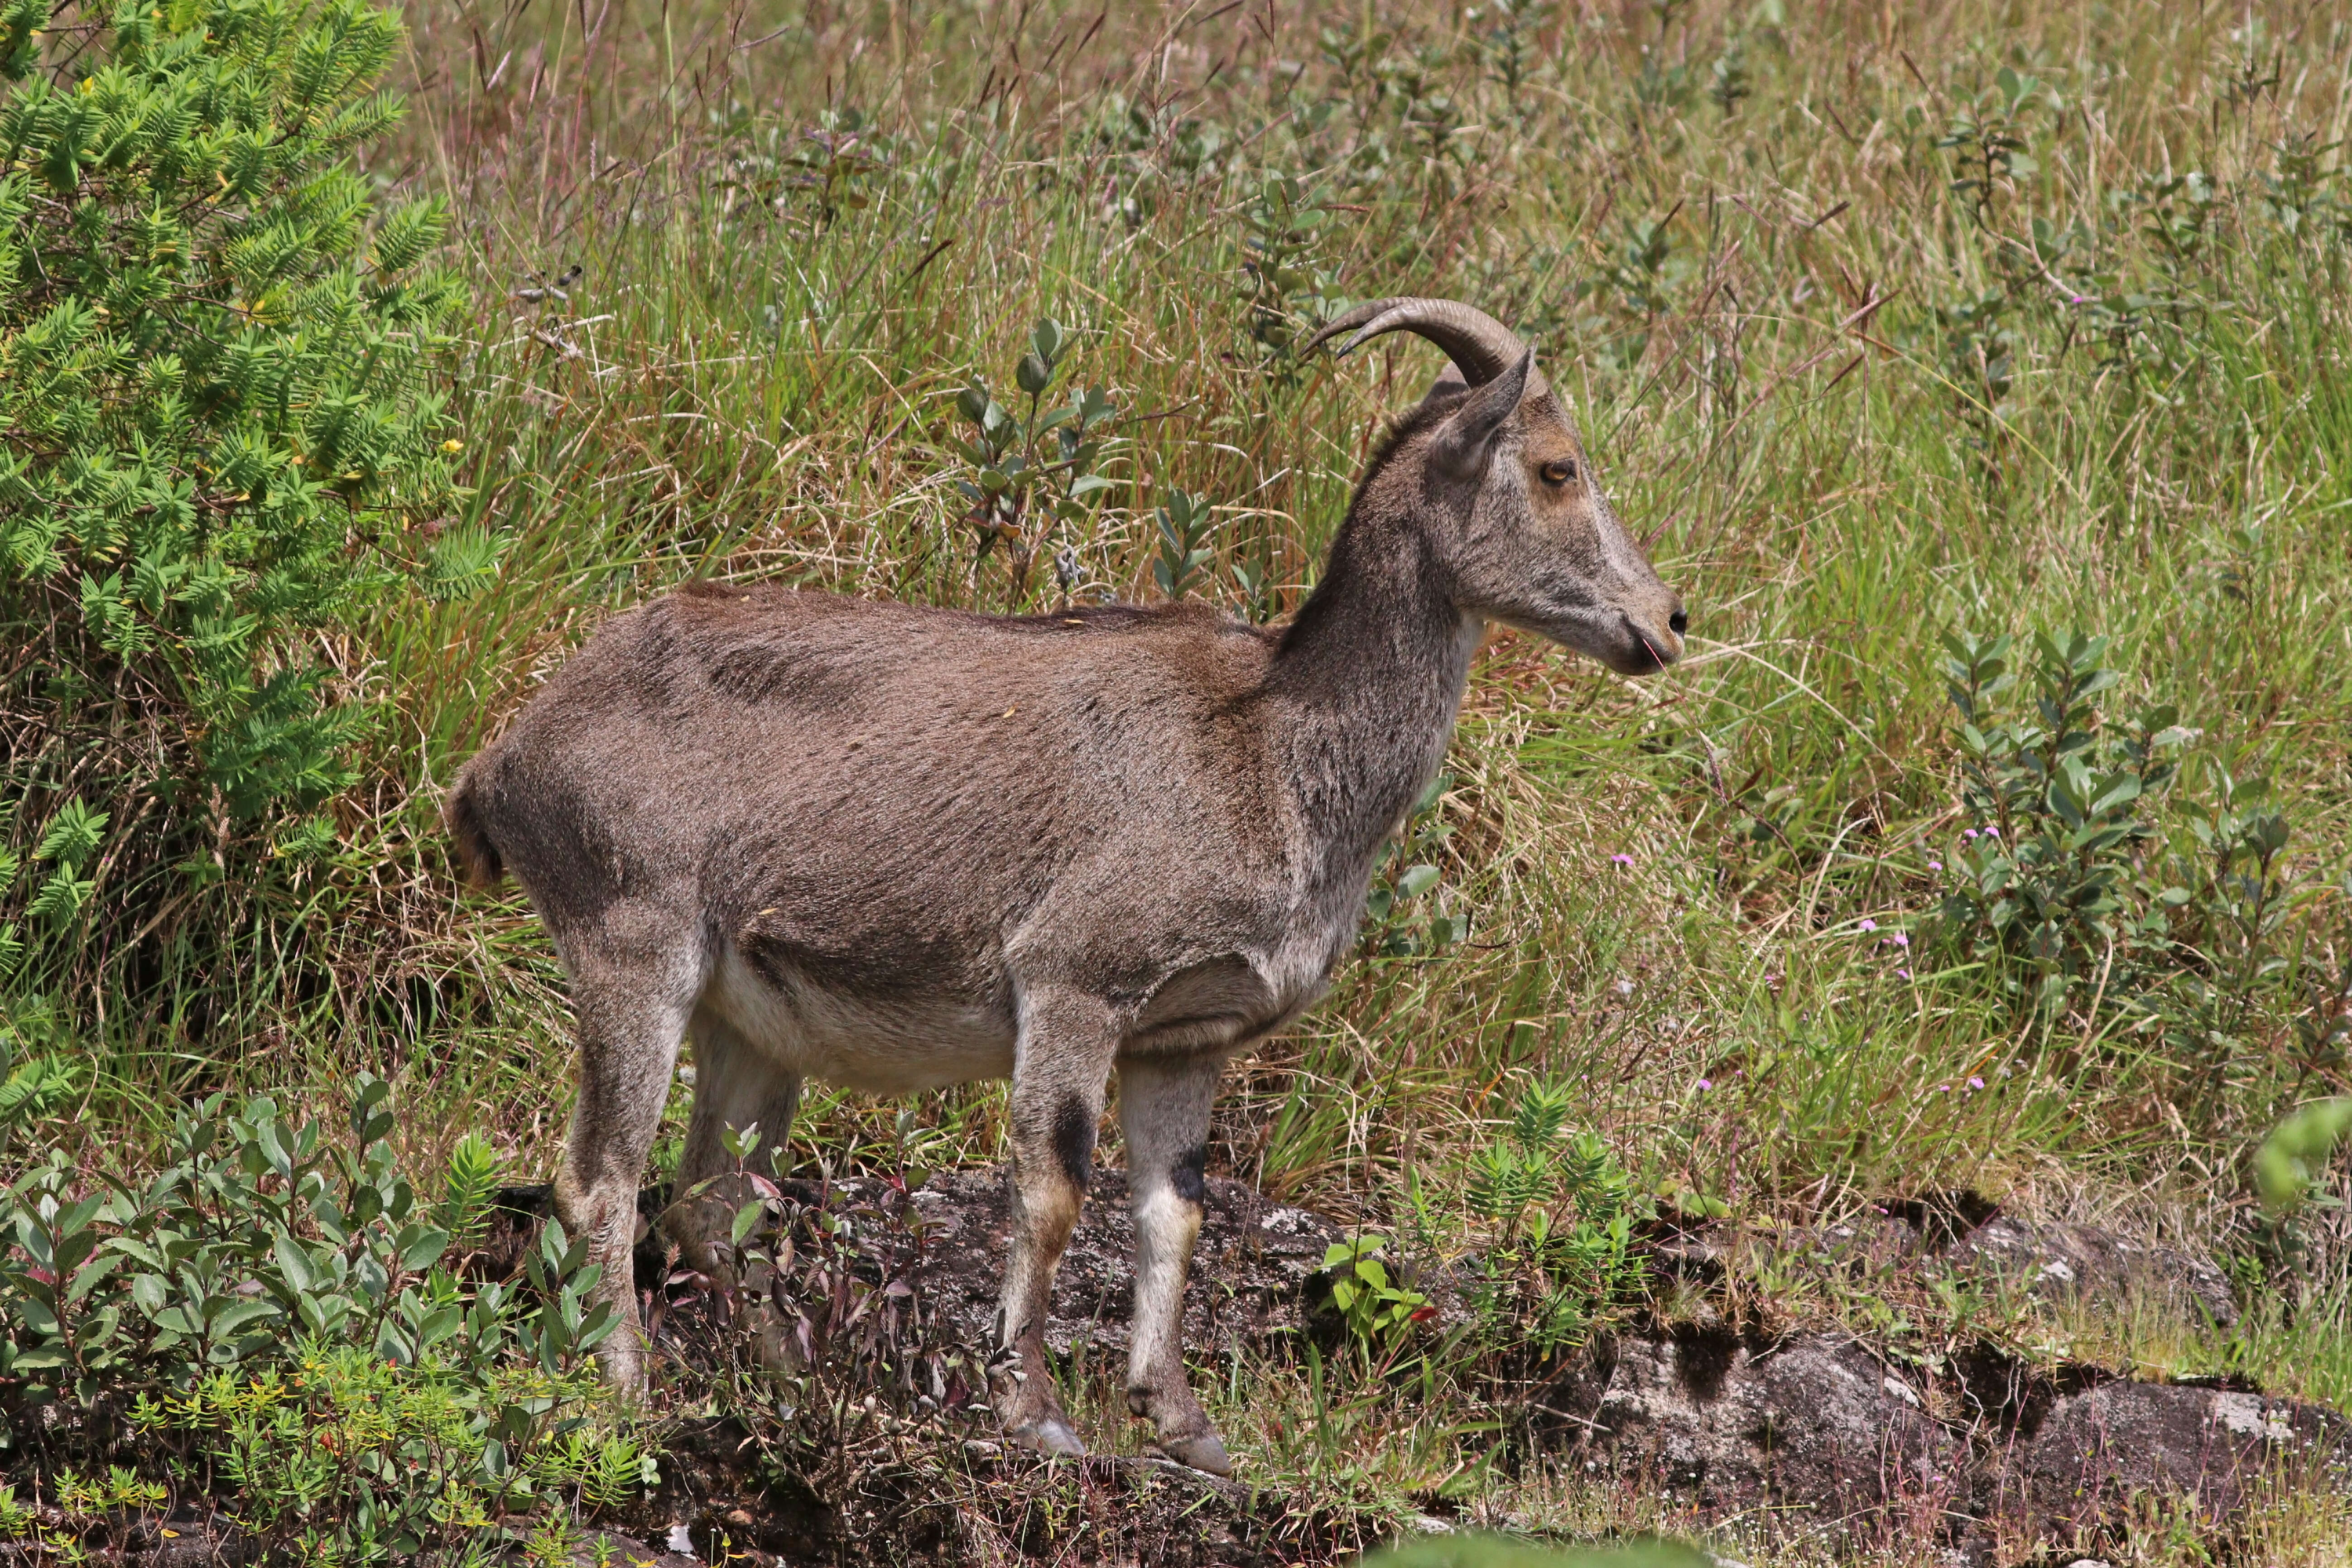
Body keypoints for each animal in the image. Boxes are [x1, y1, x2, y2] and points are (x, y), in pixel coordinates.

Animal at [444, 293, 1693, 1476]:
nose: (1666, 621)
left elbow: (1171, 1215)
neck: (1272, 751)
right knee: (599, 1178)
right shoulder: (1076, 984)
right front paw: (1036, 1412)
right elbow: (1050, 1196)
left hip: (748, 1022)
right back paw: (624, 1383)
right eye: (1557, 467)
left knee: (710, 1195)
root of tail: (504, 761)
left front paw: (1183, 1423)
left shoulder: (1184, 1036)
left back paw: (799, 1380)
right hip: (632, 944)